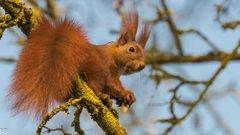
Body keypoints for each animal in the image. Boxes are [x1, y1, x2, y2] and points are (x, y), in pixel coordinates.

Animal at [7, 11, 150, 118]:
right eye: (131, 49)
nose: (142, 65)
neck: (113, 55)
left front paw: (122, 99)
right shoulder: (109, 68)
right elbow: (113, 84)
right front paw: (127, 94)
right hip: (96, 69)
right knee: (94, 85)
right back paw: (103, 97)